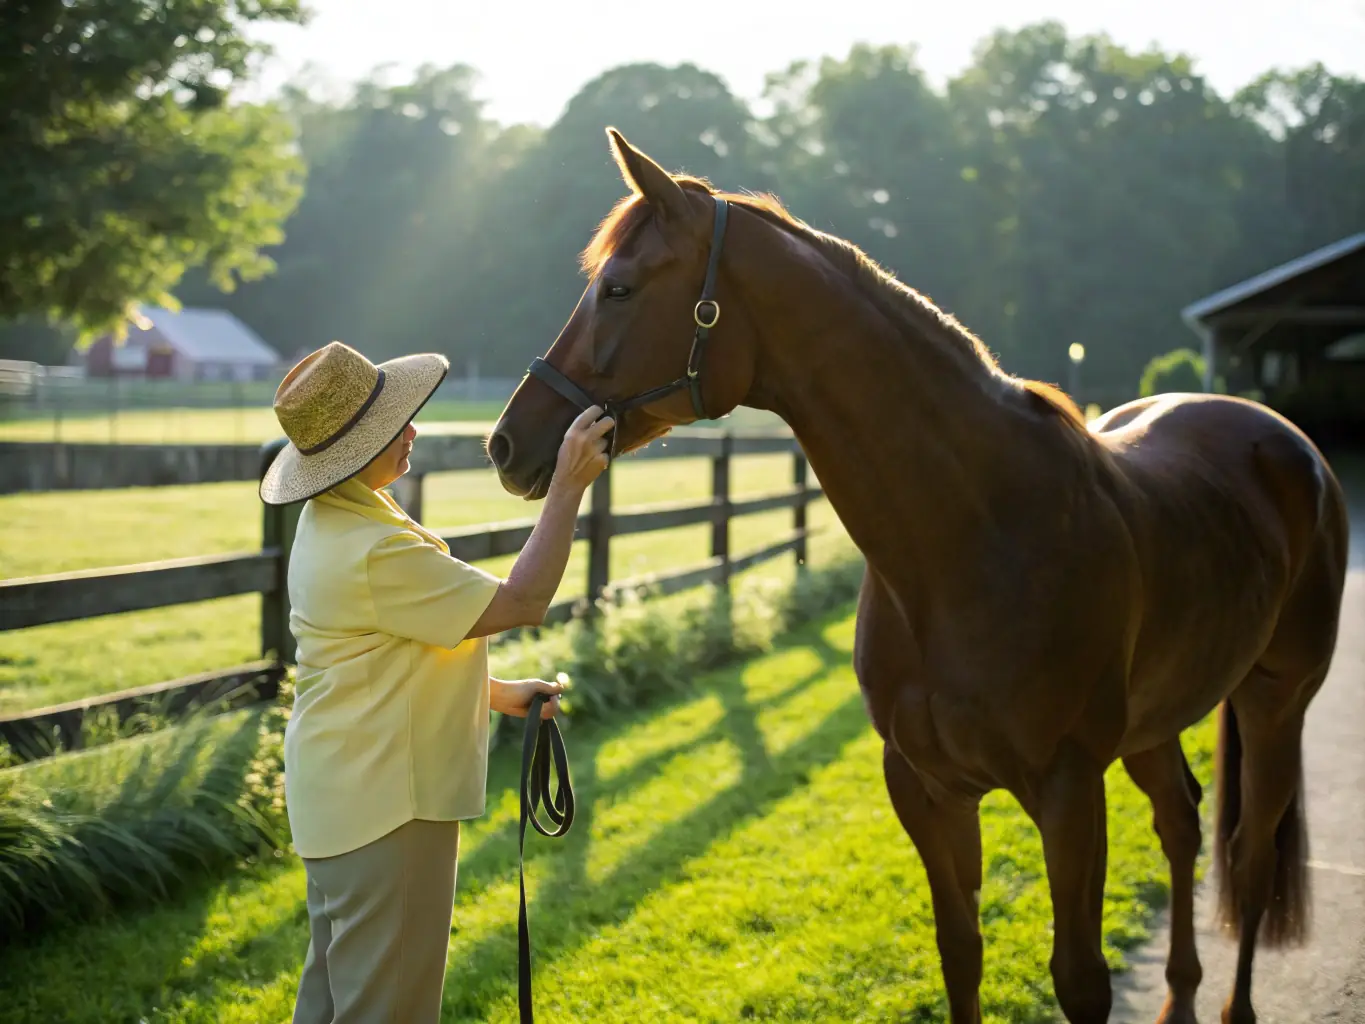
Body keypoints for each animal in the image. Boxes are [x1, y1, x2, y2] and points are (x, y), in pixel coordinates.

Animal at [486, 127, 1350, 1024]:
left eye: (617, 287)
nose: (507, 442)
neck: (970, 540)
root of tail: (1282, 439)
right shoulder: (927, 788)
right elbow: (959, 953)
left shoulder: (1069, 790)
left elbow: (1079, 979)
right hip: (1155, 721)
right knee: (1181, 823)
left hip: (1275, 699)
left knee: (1250, 855)